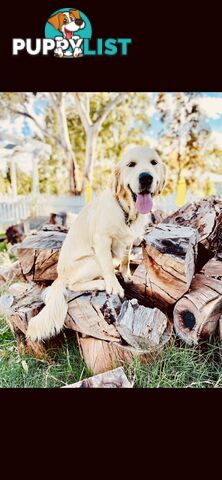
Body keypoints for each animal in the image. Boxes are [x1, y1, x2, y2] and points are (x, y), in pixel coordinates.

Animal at [26, 146, 166, 342]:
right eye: (131, 164)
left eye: (154, 162)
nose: (146, 177)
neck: (125, 210)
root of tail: (60, 275)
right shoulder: (102, 240)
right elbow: (108, 267)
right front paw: (114, 286)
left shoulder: (129, 240)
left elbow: (126, 260)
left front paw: (127, 275)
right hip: (92, 260)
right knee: (73, 284)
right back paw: (100, 283)